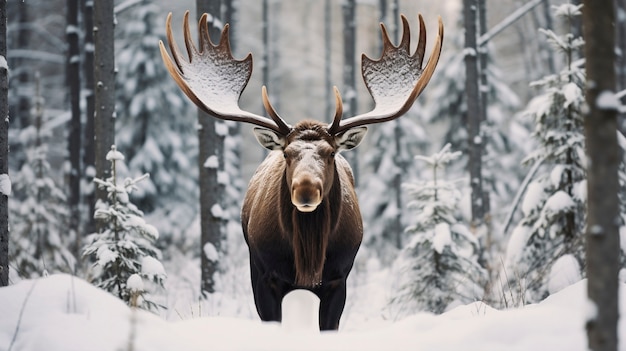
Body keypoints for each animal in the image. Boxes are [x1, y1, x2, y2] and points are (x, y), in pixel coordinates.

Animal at [161, 10, 444, 330]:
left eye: (331, 153)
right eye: (287, 153)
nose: (306, 189)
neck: (307, 257)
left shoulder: (338, 279)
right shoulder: (263, 275)